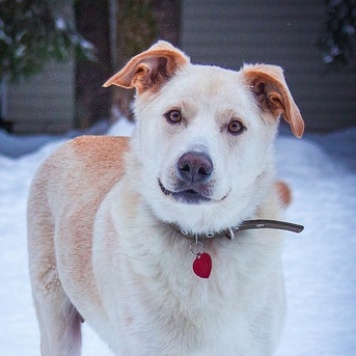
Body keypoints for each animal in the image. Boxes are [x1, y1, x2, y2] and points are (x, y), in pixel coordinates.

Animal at [27, 42, 304, 356]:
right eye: (174, 115)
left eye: (235, 126)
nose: (194, 165)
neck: (199, 236)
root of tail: (77, 139)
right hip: (55, 314)